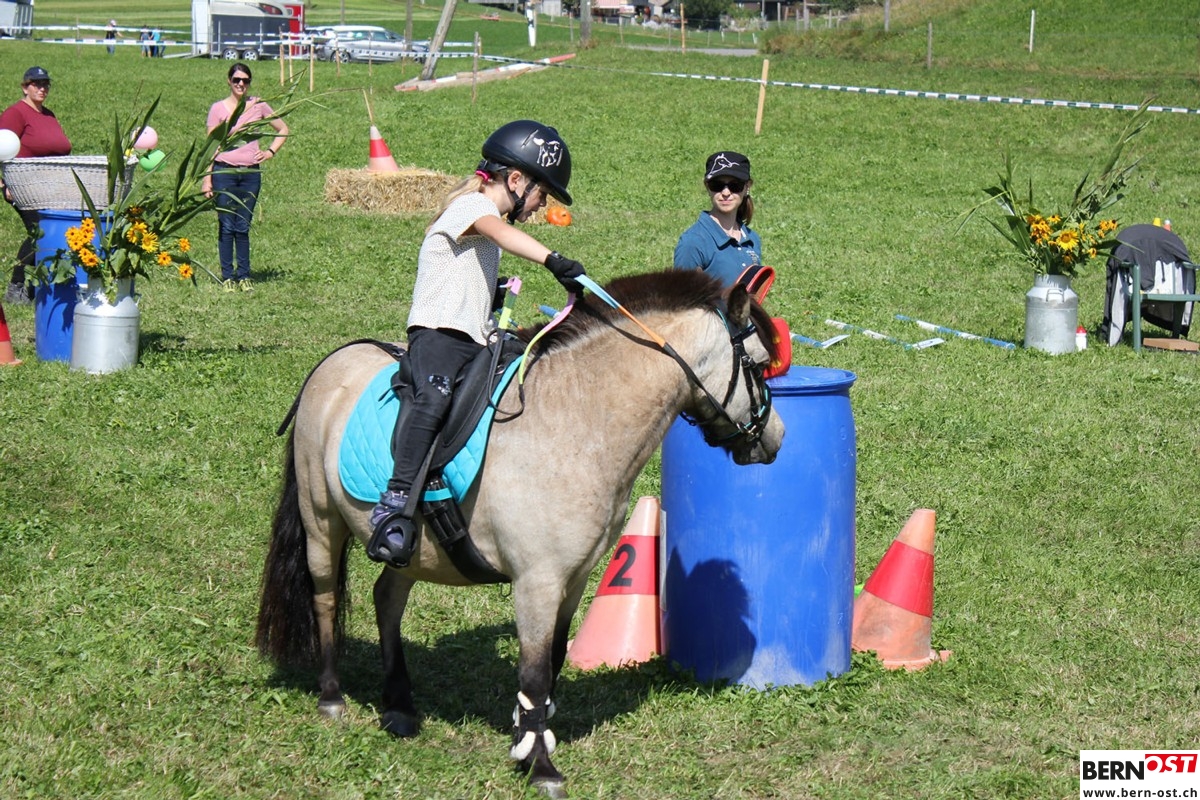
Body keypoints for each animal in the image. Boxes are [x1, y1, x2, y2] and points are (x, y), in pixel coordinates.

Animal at [255, 269, 786, 798]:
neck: (579, 422)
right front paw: (540, 763)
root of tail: (332, 362)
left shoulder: (574, 578)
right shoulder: (538, 580)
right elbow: (533, 671)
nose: (776, 437)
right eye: (760, 368)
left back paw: (399, 705)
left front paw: (531, 735)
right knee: (324, 596)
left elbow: (552, 659)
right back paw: (331, 695)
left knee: (387, 598)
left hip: (413, 549)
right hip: (320, 520)